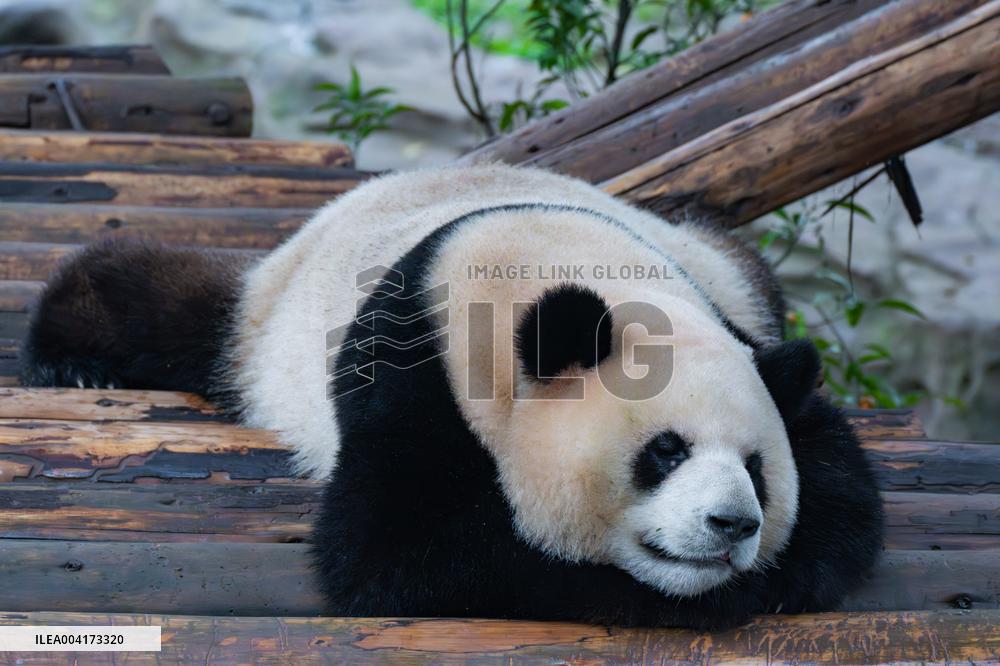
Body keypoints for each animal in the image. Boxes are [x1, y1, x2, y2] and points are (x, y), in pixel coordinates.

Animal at [21, 164, 883, 630]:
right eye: (665, 452)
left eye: (756, 468)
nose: (734, 525)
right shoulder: (413, 373)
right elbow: (401, 552)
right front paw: (686, 597)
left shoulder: (734, 329)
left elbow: (837, 472)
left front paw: (782, 572)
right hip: (269, 316)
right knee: (169, 300)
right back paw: (71, 358)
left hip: (723, 264)